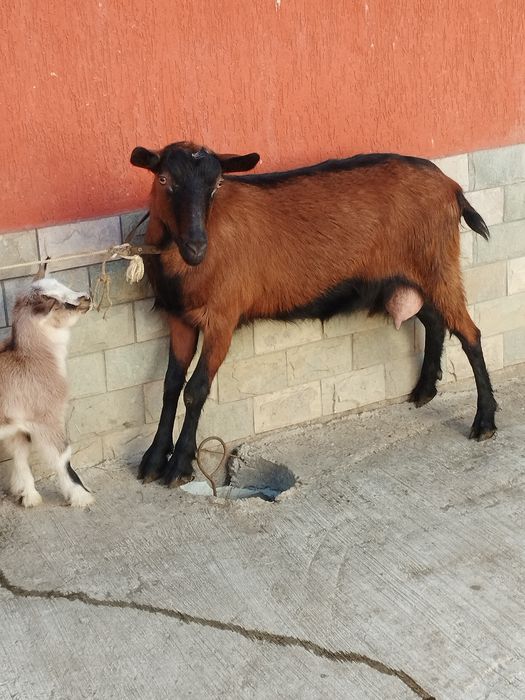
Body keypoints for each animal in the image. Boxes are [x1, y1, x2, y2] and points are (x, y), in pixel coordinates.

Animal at [0, 276, 94, 507]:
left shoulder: (16, 427)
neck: (28, 359)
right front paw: (81, 495)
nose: (87, 298)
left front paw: (27, 495)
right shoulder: (46, 418)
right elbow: (62, 457)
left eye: (62, 285)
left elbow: (20, 454)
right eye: (59, 302)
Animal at [130, 141, 497, 488]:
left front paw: (178, 466)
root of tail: (451, 187)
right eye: (163, 179)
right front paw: (153, 460)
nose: (196, 247)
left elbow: (195, 389)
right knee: (436, 321)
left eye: (217, 184)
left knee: (470, 334)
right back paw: (424, 390)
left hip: (438, 264)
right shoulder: (179, 319)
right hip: (410, 275)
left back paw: (485, 422)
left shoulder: (223, 318)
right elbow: (170, 384)